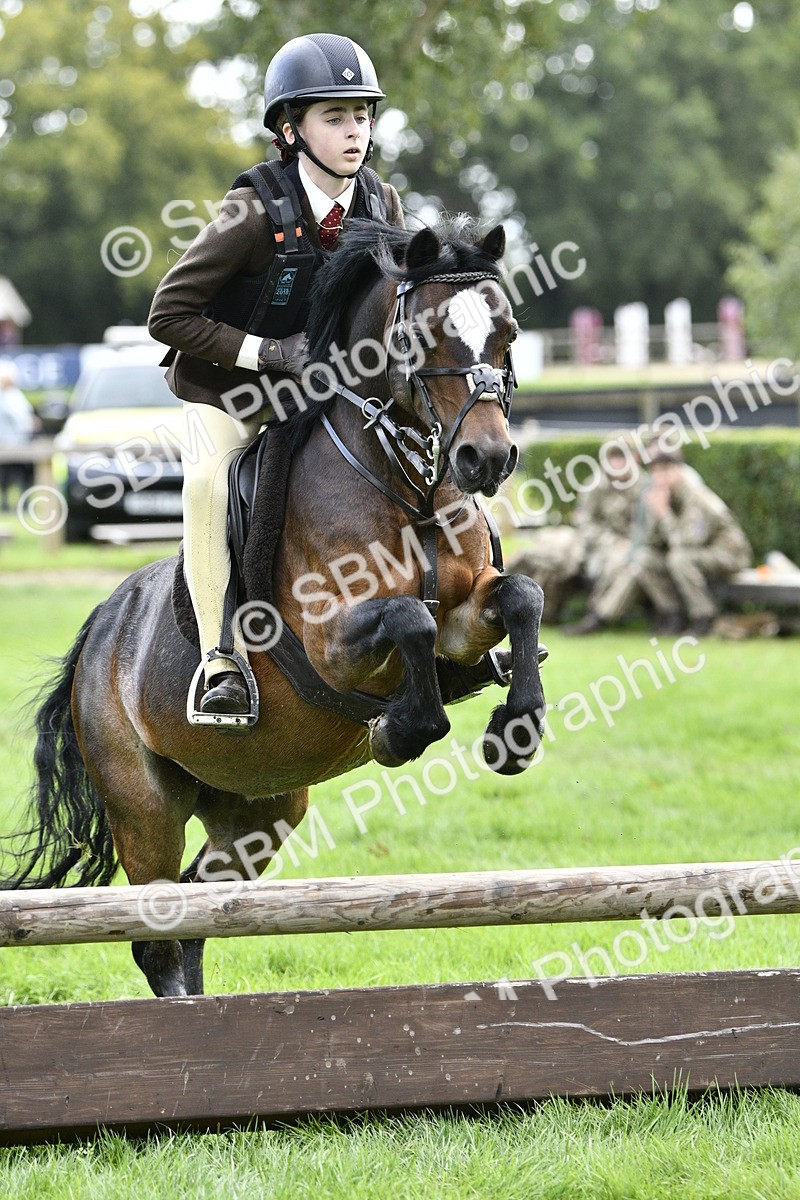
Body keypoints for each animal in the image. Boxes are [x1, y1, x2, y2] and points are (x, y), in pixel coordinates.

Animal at [4, 218, 546, 998]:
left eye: (507, 332)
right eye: (418, 338)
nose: (486, 459)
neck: (405, 485)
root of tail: (98, 633)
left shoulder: (467, 616)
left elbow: (521, 596)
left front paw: (517, 729)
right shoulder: (331, 644)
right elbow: (407, 621)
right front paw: (400, 731)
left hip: (259, 806)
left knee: (199, 910)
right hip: (143, 804)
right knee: (157, 932)